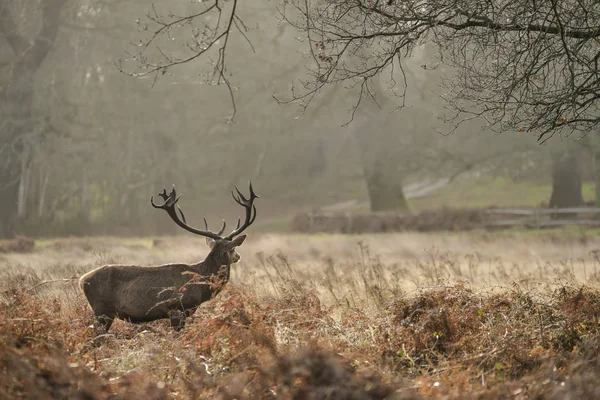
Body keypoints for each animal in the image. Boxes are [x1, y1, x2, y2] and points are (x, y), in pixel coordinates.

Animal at [78, 183, 258, 332]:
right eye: (233, 248)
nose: (239, 256)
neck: (200, 285)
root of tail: (81, 280)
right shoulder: (176, 308)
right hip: (103, 311)